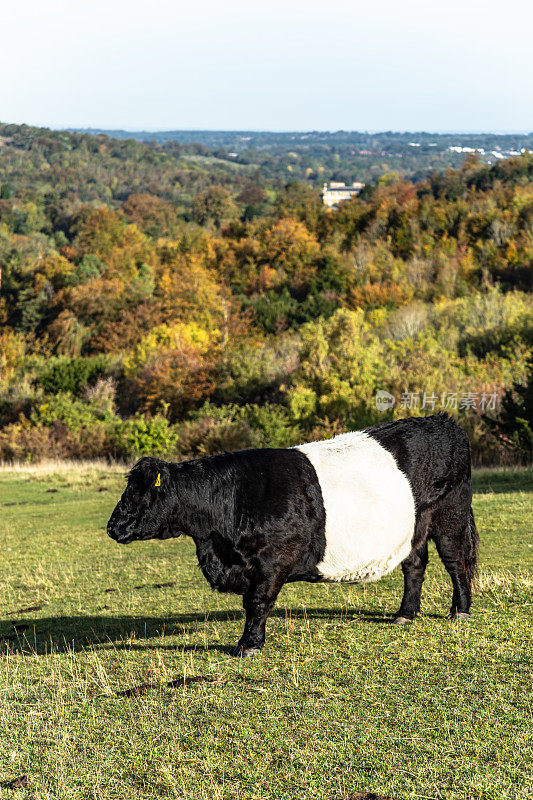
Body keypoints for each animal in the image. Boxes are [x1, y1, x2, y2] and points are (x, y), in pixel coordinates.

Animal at [106, 412, 476, 656]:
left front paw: (248, 646)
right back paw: (405, 614)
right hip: (412, 526)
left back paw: (459, 611)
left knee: (455, 560)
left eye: (139, 493)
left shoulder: (274, 559)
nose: (112, 527)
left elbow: (258, 601)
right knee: (414, 564)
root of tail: (444, 420)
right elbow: (250, 602)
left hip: (450, 512)